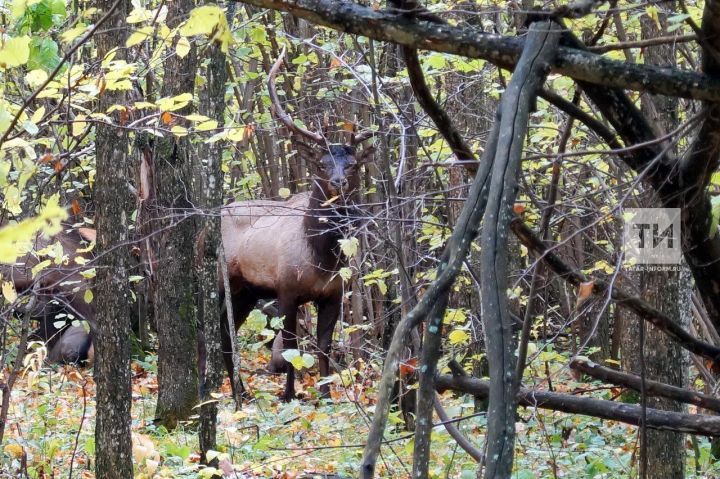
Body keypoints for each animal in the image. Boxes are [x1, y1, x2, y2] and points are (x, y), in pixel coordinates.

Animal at [221, 48, 374, 402]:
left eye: (352, 164)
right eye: (321, 163)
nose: (338, 182)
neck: (322, 257)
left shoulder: (333, 294)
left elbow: (324, 345)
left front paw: (326, 393)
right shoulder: (287, 289)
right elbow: (291, 346)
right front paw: (289, 394)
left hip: (247, 290)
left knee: (228, 329)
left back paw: (240, 390)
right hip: (224, 280)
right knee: (221, 329)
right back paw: (237, 392)